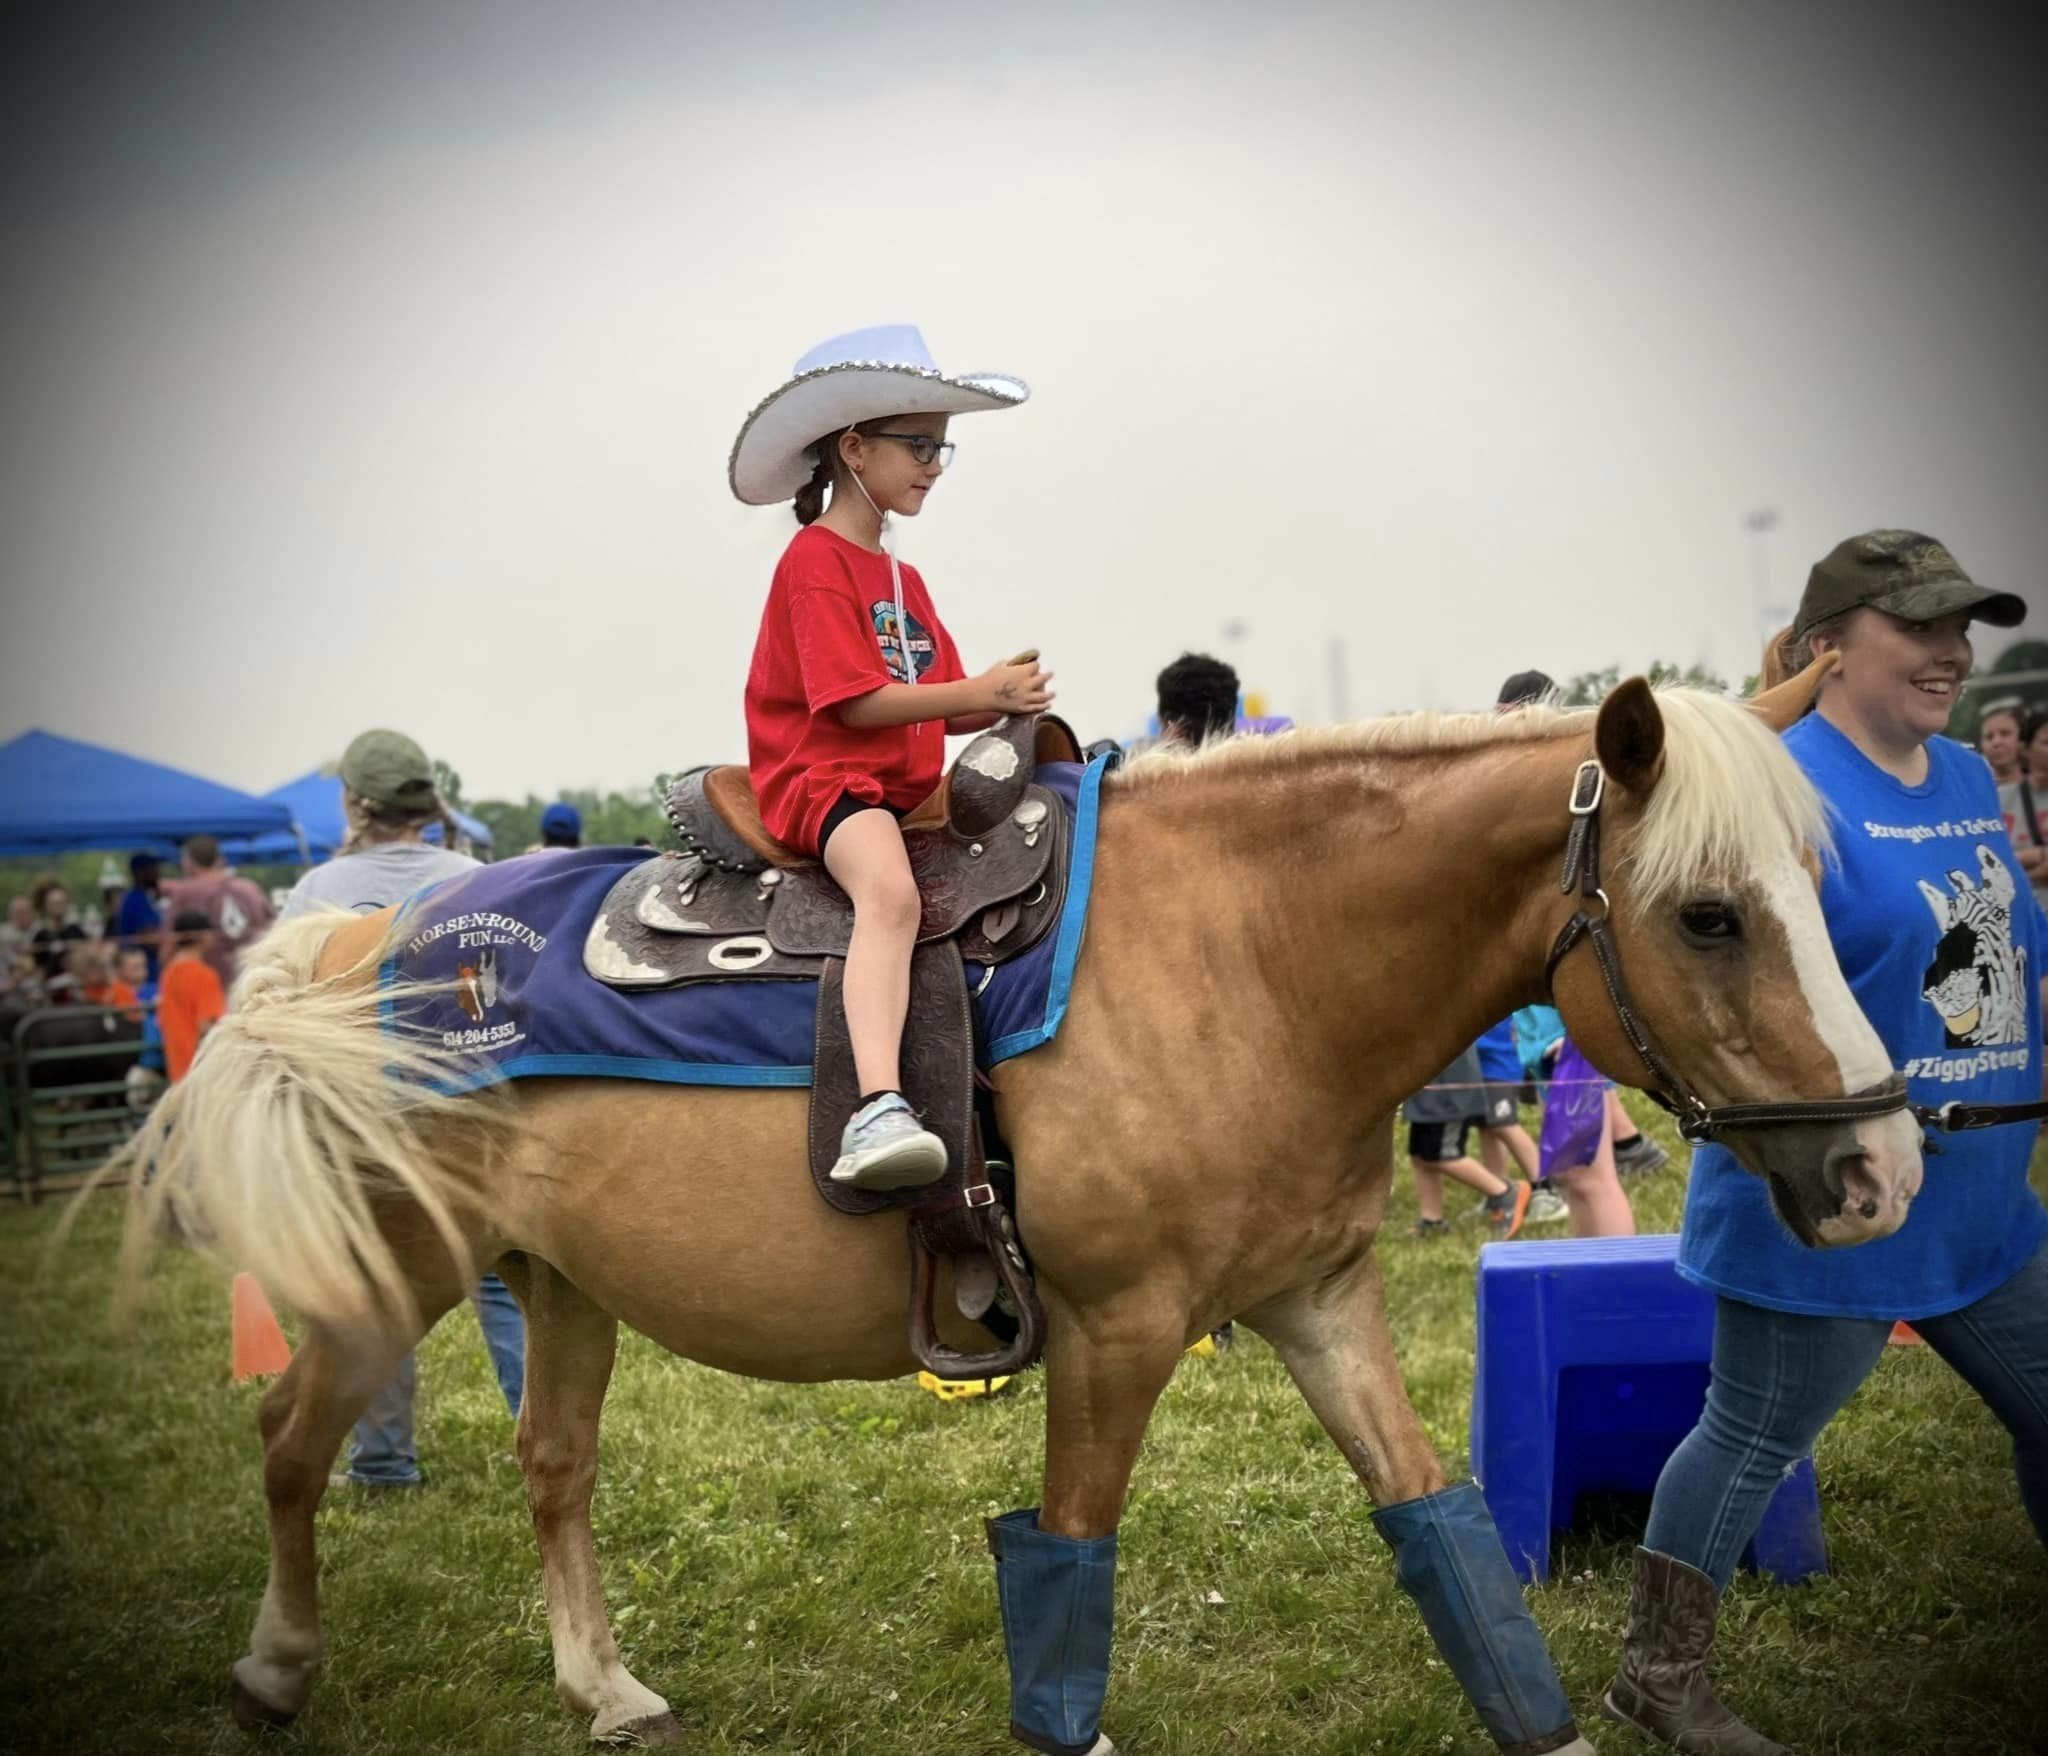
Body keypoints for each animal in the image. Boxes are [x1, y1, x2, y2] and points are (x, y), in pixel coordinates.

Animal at [103, 663, 1925, 1745]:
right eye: (1706, 916)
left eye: (1814, 886)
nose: (1881, 1169)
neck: (1247, 956)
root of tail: (356, 941)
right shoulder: (1115, 1335)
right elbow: (1067, 1562)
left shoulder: (1317, 1301)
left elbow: (1443, 1533)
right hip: (388, 1265)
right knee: (288, 1441)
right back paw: (274, 1666)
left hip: (556, 1279)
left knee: (552, 1471)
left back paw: (602, 1683)